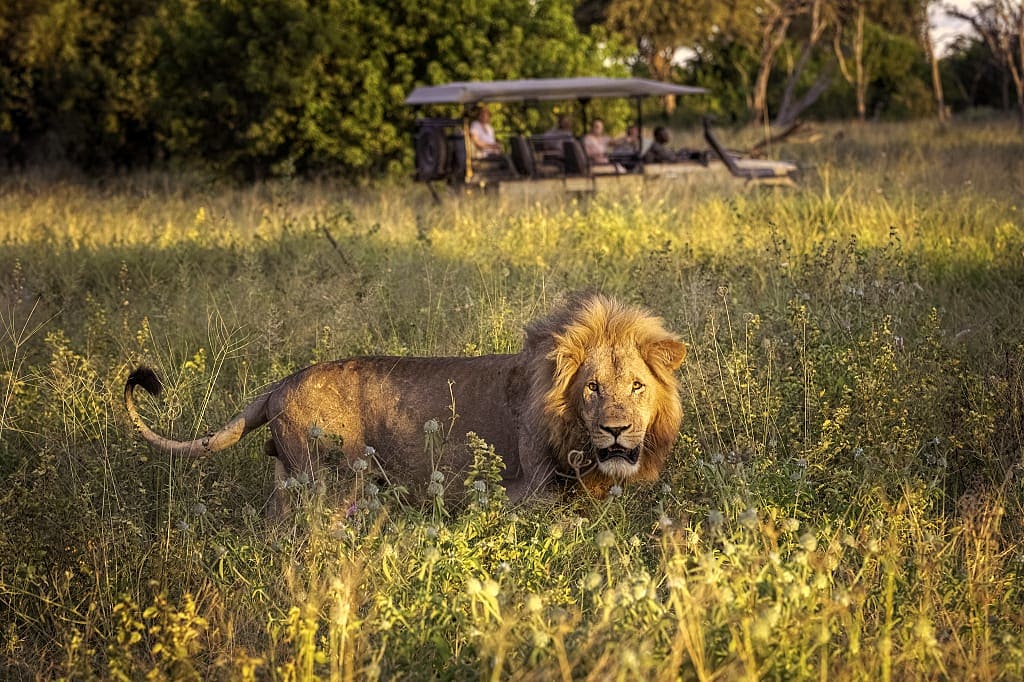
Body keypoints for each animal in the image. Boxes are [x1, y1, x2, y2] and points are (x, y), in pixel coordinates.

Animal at [124, 293, 686, 512]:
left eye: (637, 386)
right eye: (592, 388)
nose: (616, 430)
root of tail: (280, 383)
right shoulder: (530, 494)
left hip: (291, 479)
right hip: (330, 482)